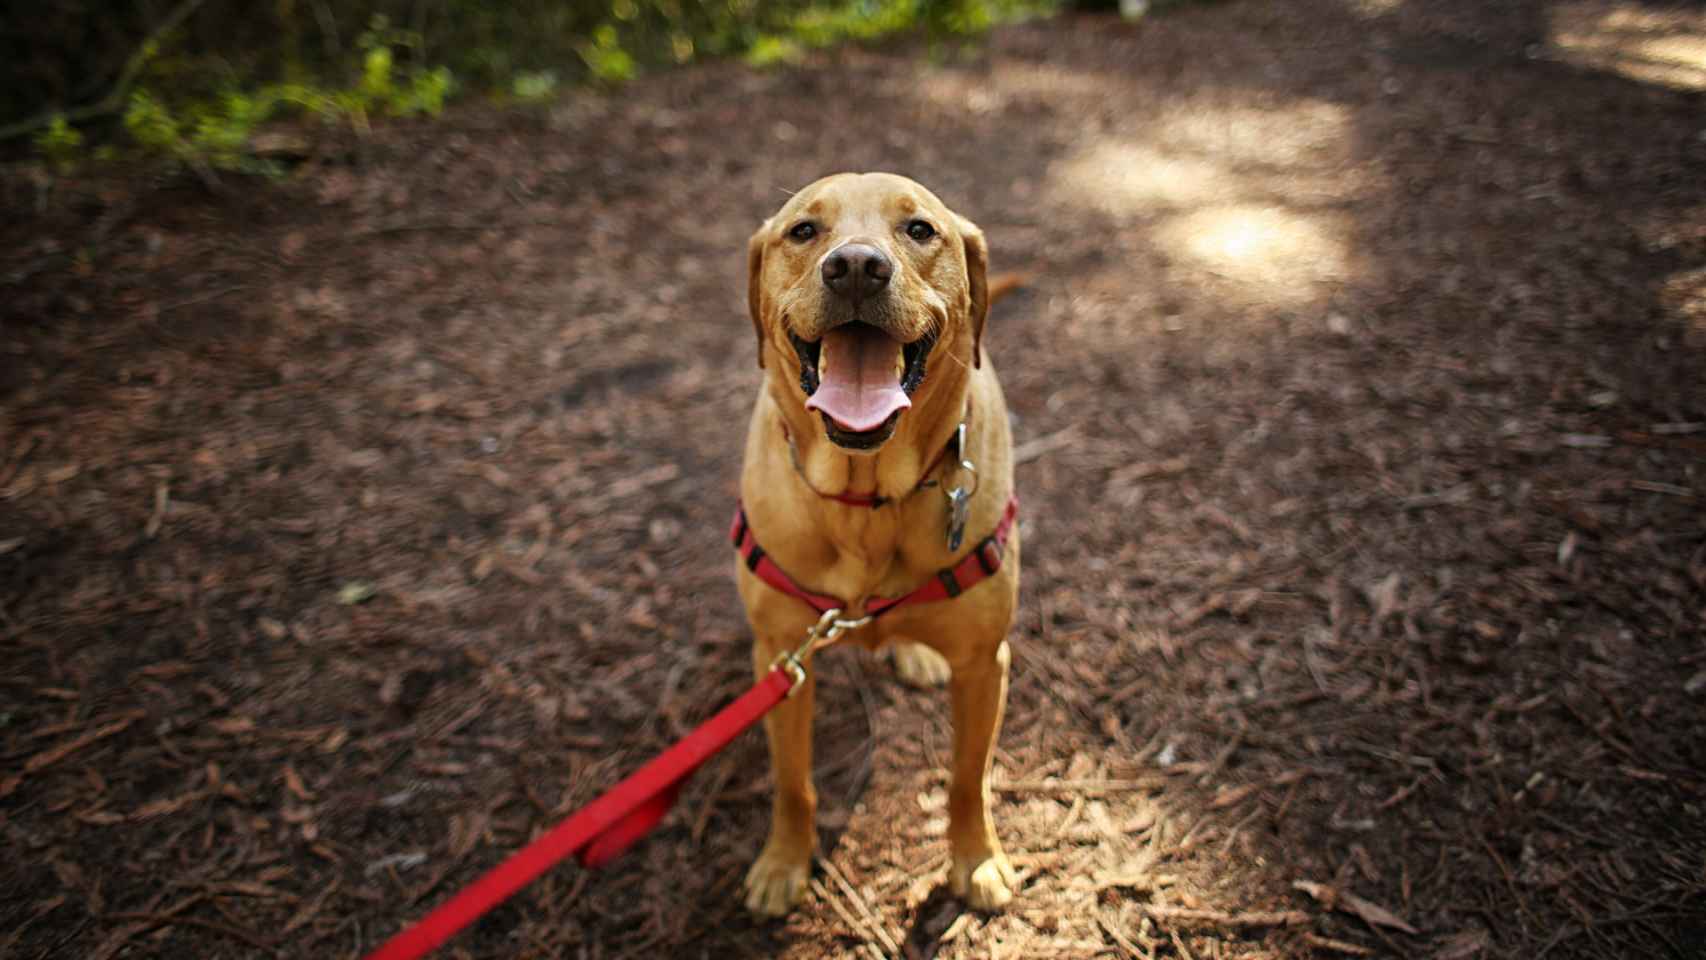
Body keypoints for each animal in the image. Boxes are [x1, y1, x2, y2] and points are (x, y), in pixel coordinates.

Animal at [730, 170, 1016, 913]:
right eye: (803, 231)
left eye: (919, 230)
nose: (856, 267)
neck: (867, 500)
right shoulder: (780, 662)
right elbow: (792, 783)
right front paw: (783, 863)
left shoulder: (985, 664)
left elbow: (967, 777)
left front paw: (976, 860)